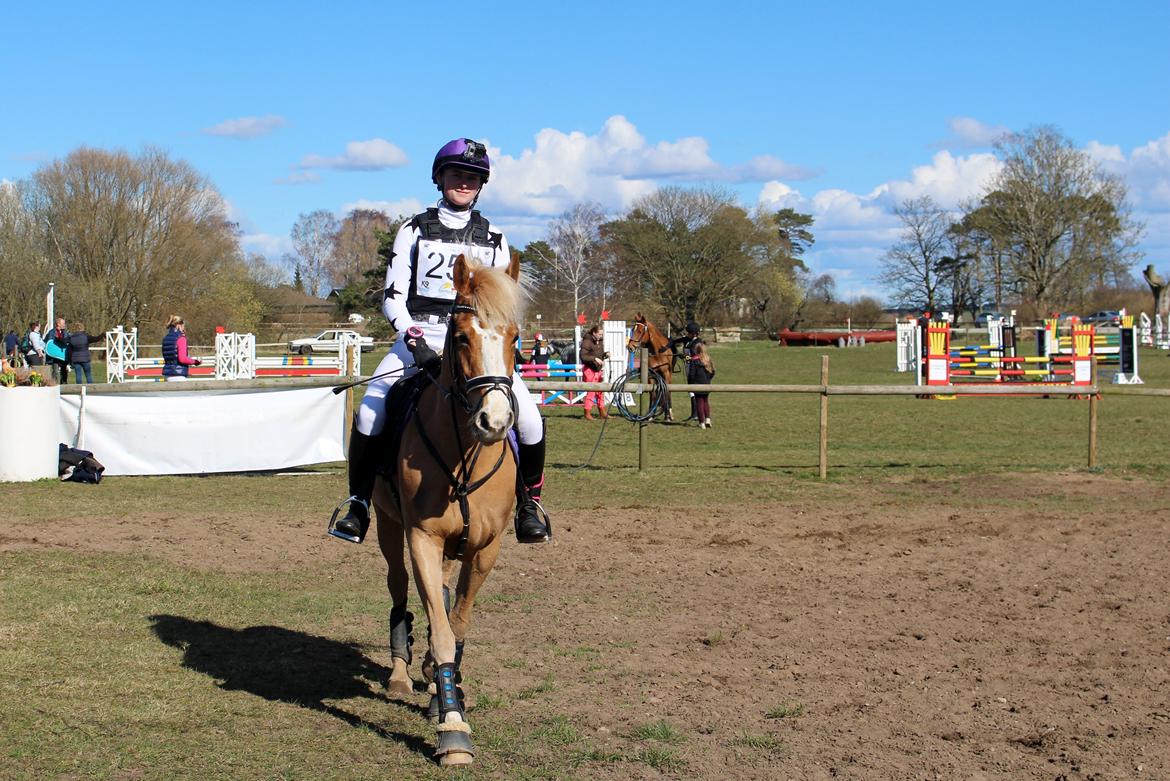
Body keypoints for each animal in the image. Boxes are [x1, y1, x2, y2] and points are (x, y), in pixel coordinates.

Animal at [371, 253, 524, 767]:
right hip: (387, 525)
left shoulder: (485, 548)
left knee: (434, 592)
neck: (464, 452)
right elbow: (438, 629)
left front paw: (446, 693)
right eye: (461, 337)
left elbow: (456, 625)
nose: (494, 422)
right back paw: (401, 669)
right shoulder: (422, 537)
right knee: (400, 588)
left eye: (515, 338)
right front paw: (453, 730)